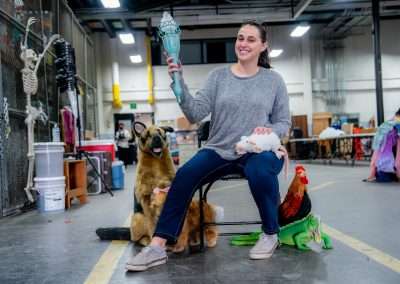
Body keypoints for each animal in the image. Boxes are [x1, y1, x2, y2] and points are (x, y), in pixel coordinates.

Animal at [95, 122, 217, 253]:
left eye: (159, 132)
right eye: (148, 135)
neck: (156, 163)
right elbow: (152, 226)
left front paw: (180, 243)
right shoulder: (148, 202)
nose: (157, 139)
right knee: (137, 239)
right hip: (138, 217)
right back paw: (147, 241)